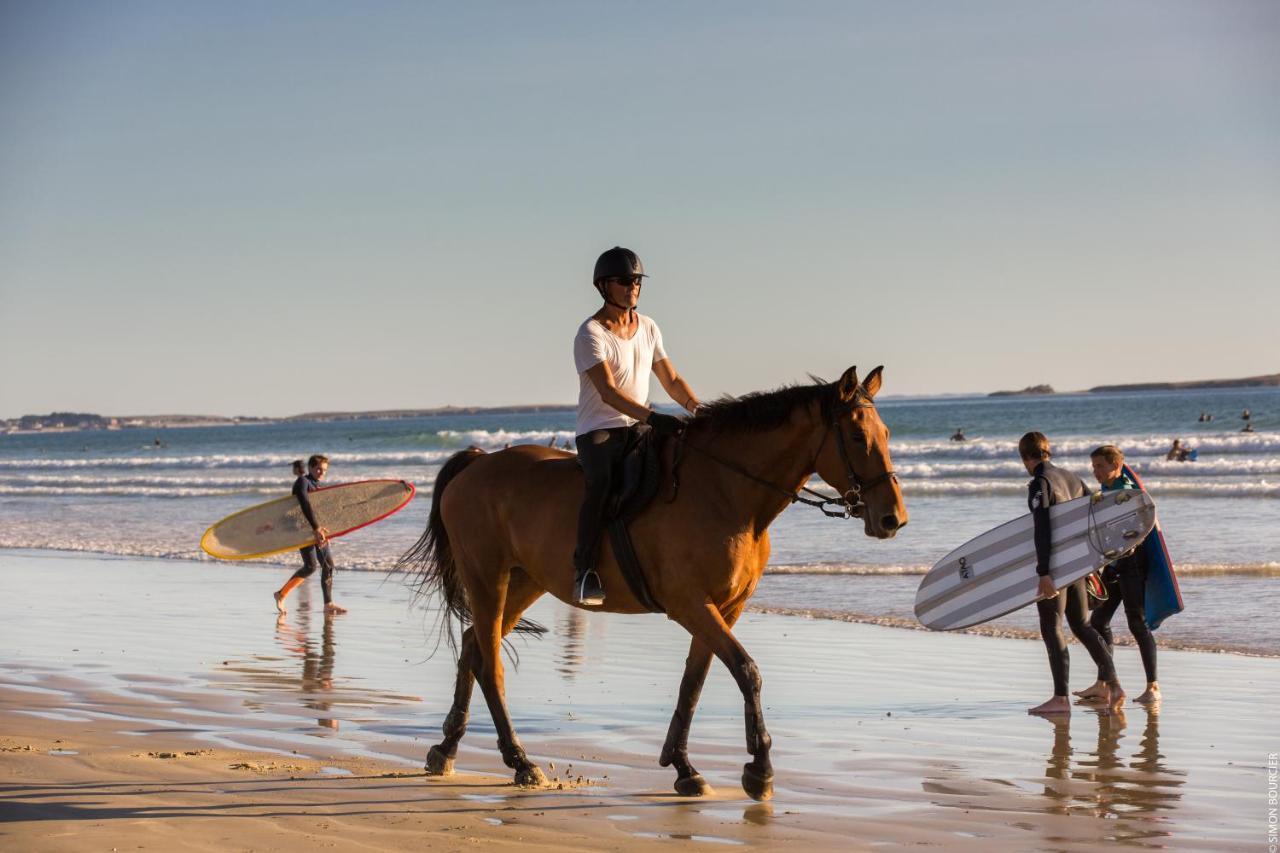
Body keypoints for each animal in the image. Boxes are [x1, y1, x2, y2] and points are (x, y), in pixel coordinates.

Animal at [399, 363, 911, 799]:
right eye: (857, 435)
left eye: (887, 434)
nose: (893, 519)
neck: (726, 493)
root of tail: (477, 462)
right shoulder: (690, 603)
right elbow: (746, 670)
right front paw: (759, 770)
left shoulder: (724, 608)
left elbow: (694, 682)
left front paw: (684, 767)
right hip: (487, 577)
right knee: (490, 663)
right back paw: (520, 761)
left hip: (525, 582)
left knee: (472, 645)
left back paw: (447, 749)